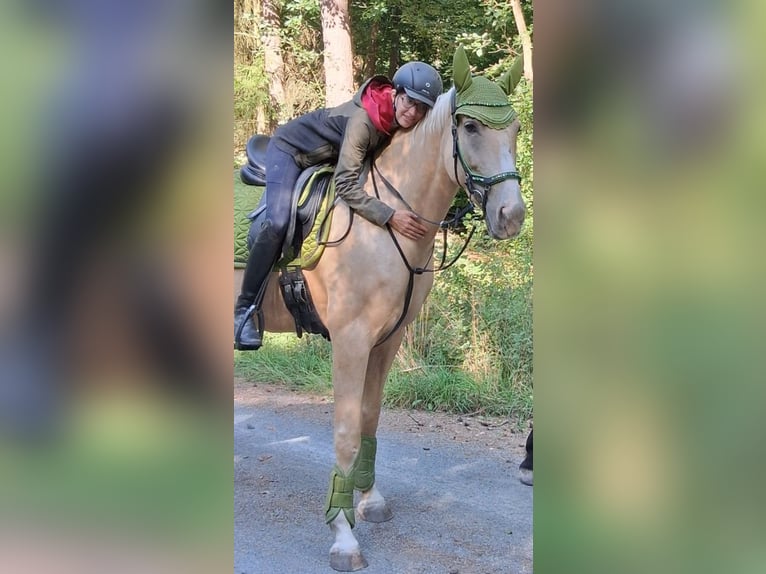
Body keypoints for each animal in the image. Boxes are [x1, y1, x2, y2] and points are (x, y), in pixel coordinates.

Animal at [243, 48, 526, 571]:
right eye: (470, 127)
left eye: (514, 127)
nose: (511, 216)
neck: (383, 224)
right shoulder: (350, 341)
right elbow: (345, 432)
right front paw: (342, 534)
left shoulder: (386, 340)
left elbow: (370, 419)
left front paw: (368, 501)